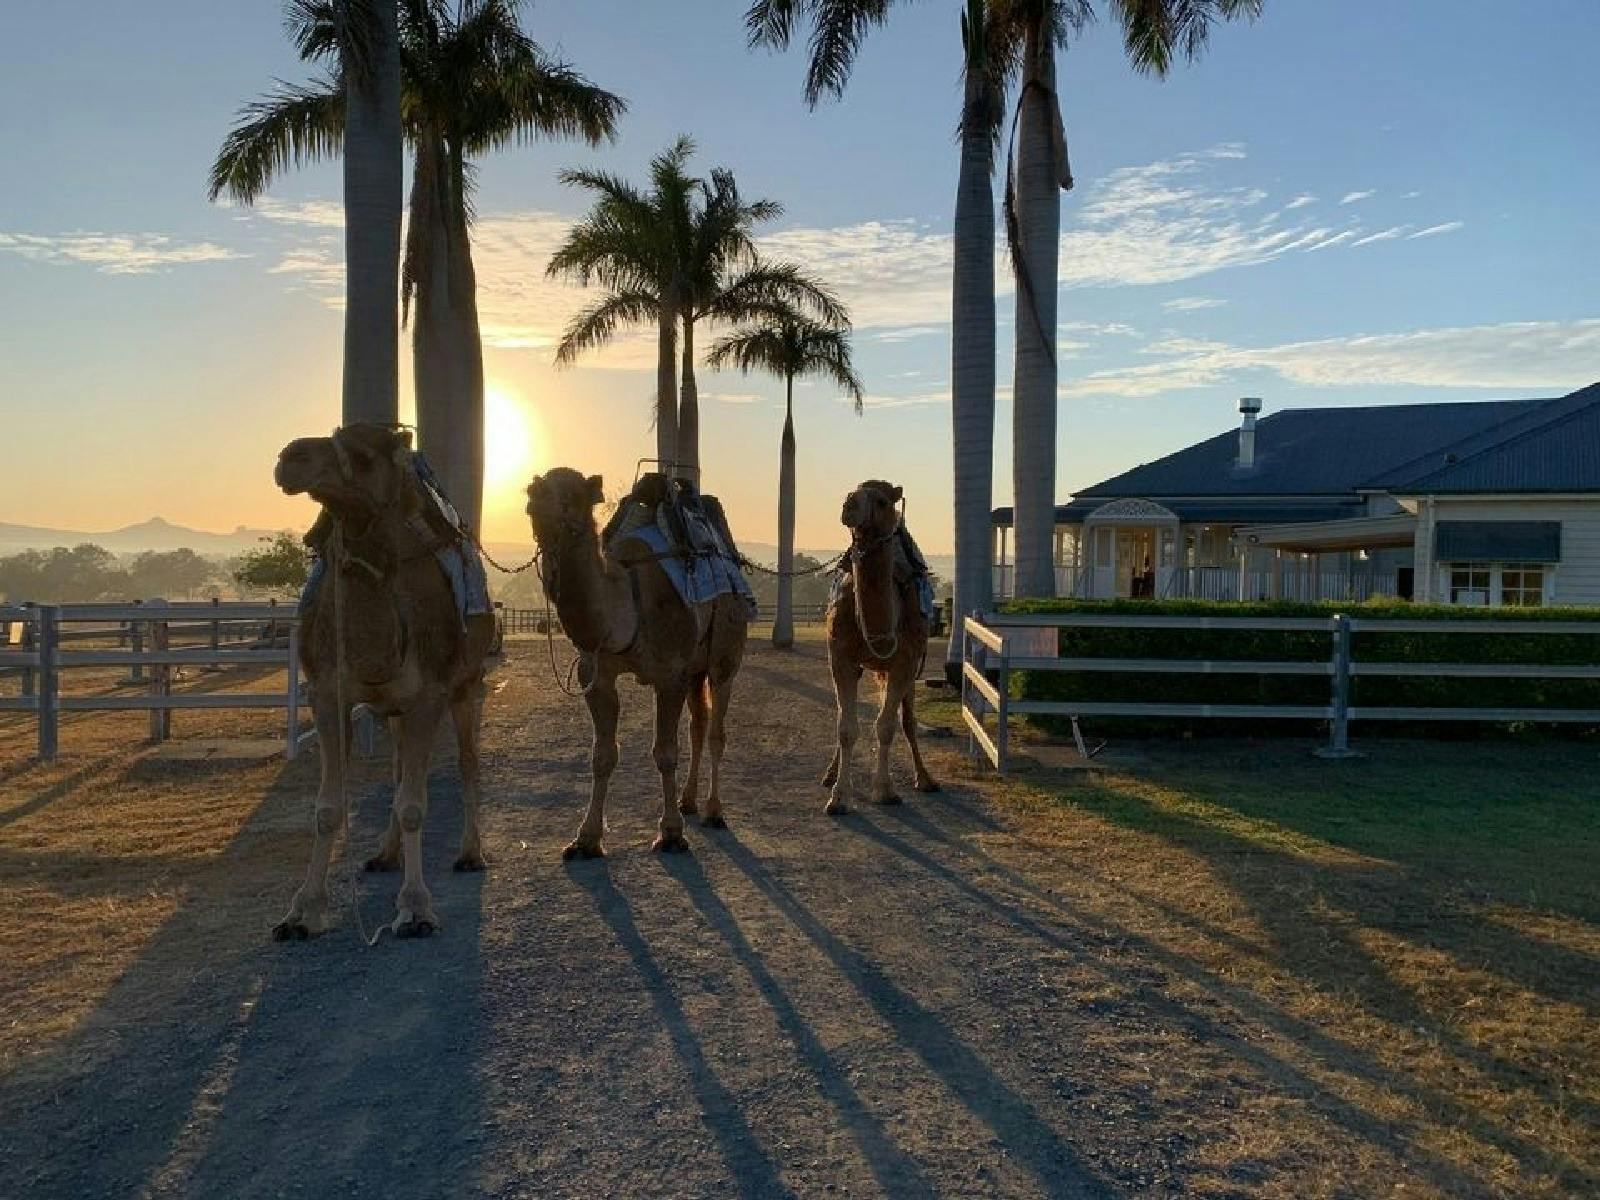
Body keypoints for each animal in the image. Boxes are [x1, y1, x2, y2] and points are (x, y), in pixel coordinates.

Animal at [273, 424, 494, 939]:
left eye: (364, 456)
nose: (290, 457)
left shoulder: (429, 696)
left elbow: (415, 804)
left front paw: (415, 910)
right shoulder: (326, 694)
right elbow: (327, 808)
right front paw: (301, 912)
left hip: (466, 686)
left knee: (468, 764)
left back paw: (470, 853)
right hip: (394, 709)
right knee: (396, 771)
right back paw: (384, 854)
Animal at [525, 468, 748, 858]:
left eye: (574, 496)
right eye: (534, 488)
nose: (534, 501)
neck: (629, 600)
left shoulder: (670, 675)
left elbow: (665, 753)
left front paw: (671, 833)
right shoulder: (596, 673)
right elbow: (602, 754)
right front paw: (585, 838)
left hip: (725, 657)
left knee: (717, 730)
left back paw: (713, 811)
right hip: (695, 668)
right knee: (699, 724)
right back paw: (689, 801)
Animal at [823, 480, 939, 813]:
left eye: (883, 501)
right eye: (850, 491)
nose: (849, 505)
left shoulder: (905, 663)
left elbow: (887, 726)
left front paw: (885, 790)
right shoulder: (840, 657)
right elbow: (845, 727)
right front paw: (837, 795)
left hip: (908, 666)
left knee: (908, 721)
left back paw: (925, 779)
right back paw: (830, 773)